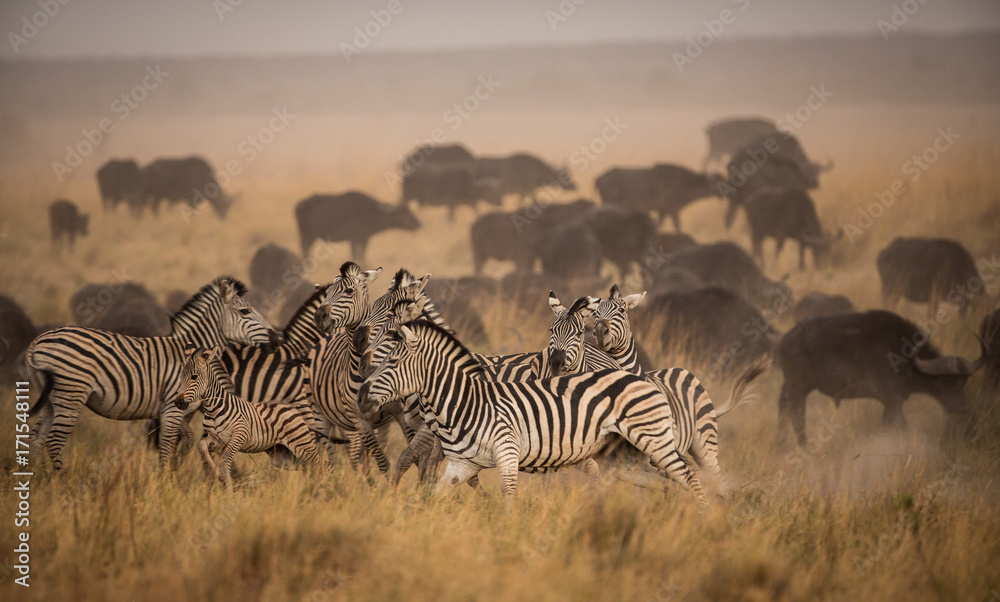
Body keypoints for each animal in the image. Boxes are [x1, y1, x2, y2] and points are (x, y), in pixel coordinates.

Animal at [25, 277, 278, 469]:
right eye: (245, 311)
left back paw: (41, 482)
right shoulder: (172, 409)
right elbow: (166, 450)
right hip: (71, 394)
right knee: (54, 442)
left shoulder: (174, 410)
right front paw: (166, 484)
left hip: (52, 400)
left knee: (37, 439)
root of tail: (36, 343)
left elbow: (186, 441)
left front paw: (177, 475)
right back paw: (61, 482)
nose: (276, 337)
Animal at [176, 346, 332, 490]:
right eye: (181, 377)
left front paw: (229, 490)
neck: (213, 408)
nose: (178, 402)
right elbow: (201, 446)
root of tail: (294, 410)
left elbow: (224, 461)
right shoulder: (216, 438)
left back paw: (324, 488)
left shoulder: (240, 435)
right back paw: (313, 487)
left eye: (194, 377)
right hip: (282, 455)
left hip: (302, 444)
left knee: (321, 465)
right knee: (308, 467)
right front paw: (218, 475)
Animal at [358, 319, 708, 504]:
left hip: (651, 438)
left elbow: (509, 499)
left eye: (392, 361)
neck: (467, 400)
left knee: (688, 476)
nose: (361, 396)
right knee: (663, 480)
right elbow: (435, 491)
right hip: (620, 457)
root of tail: (642, 376)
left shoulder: (507, 453)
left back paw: (702, 521)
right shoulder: (462, 464)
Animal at [590, 284, 769, 494]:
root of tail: (680, 369)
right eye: (595, 313)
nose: (600, 331)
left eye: (622, 310)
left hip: (705, 442)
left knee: (717, 479)